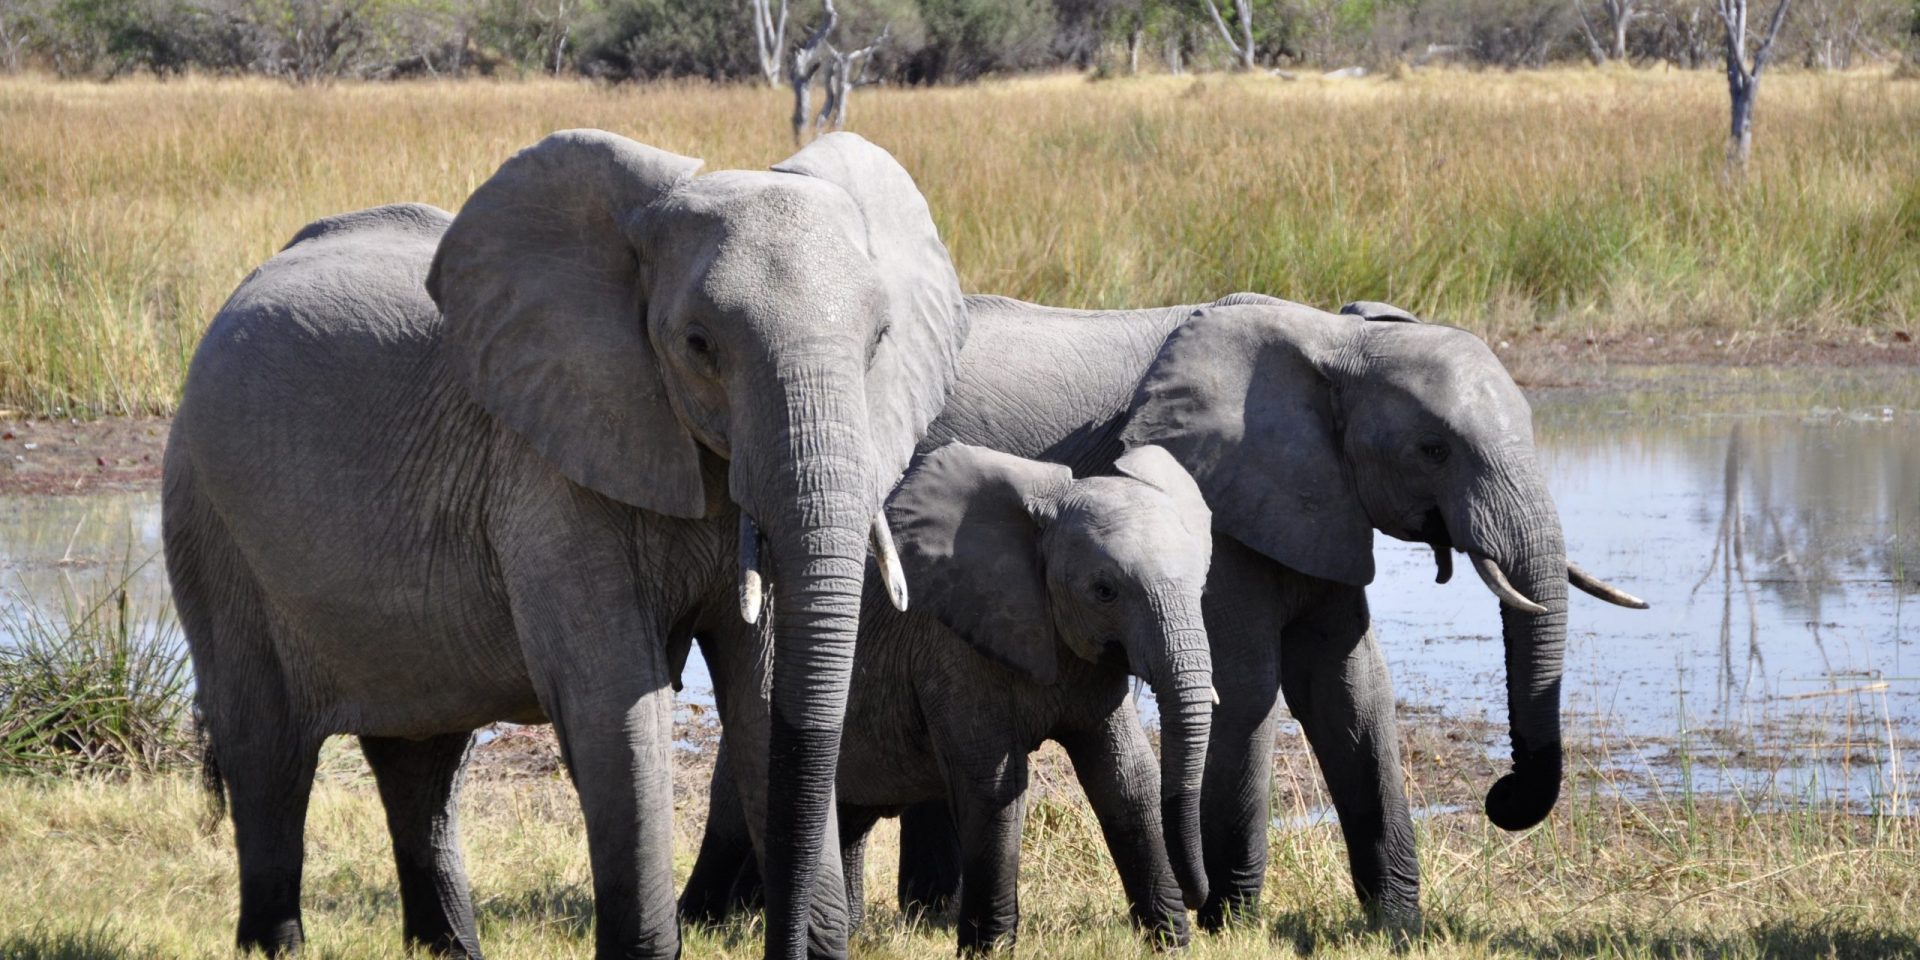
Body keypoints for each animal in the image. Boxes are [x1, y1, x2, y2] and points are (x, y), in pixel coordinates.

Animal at [162, 130, 967, 960]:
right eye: (699, 345)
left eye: (879, 342)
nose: (785, 943)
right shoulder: (547, 469)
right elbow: (615, 702)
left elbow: (766, 688)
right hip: (208, 515)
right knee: (268, 752)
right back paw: (278, 944)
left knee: (423, 763)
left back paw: (452, 949)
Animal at [679, 441, 1216, 951]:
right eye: (1104, 590)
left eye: (1201, 585)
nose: (1199, 896)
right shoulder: (949, 647)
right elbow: (994, 786)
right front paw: (988, 950)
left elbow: (1127, 780)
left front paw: (1171, 944)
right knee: (734, 814)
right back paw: (702, 925)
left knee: (850, 817)